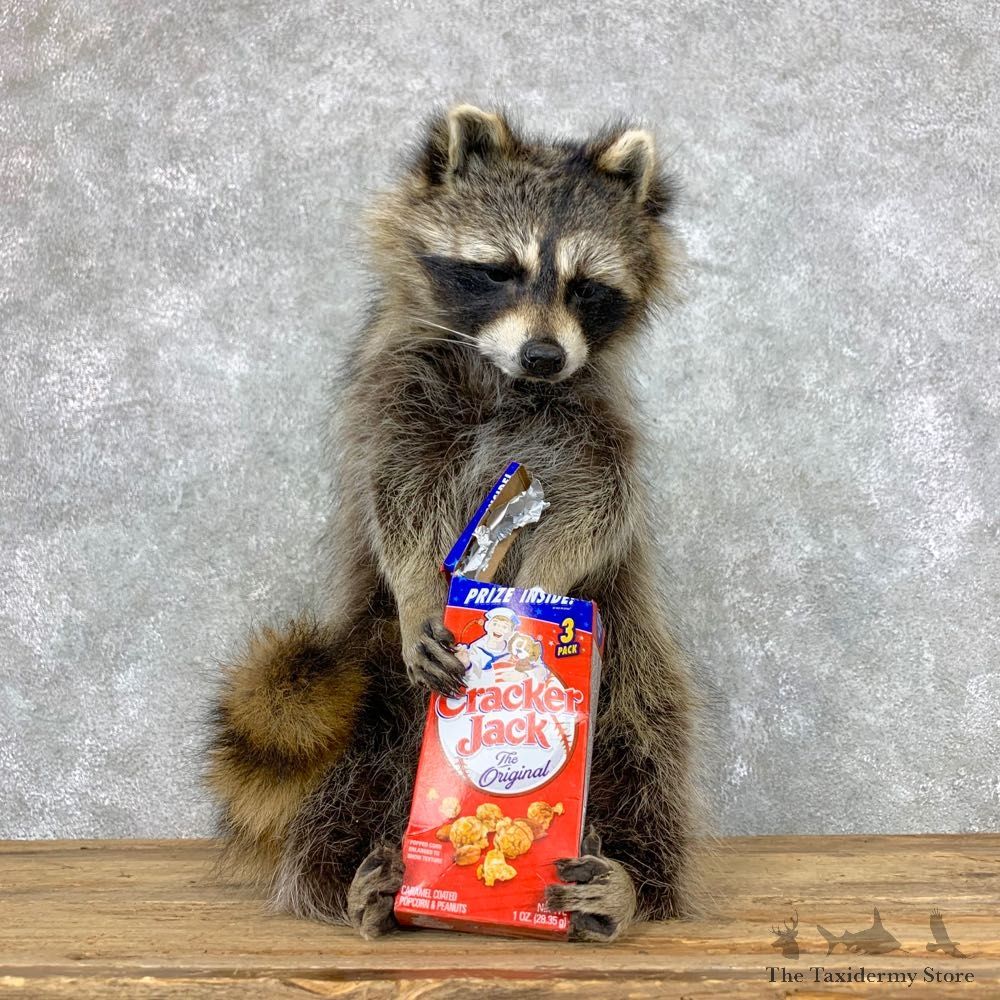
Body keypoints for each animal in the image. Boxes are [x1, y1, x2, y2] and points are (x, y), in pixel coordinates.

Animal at [205, 105, 701, 943]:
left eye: (586, 286)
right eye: (499, 270)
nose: (543, 355)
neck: (502, 376)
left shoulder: (592, 416)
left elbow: (600, 505)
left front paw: (539, 587)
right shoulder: (399, 393)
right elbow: (397, 500)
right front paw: (417, 592)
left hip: (634, 664)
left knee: (645, 749)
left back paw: (628, 882)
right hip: (364, 689)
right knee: (344, 781)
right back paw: (362, 883)